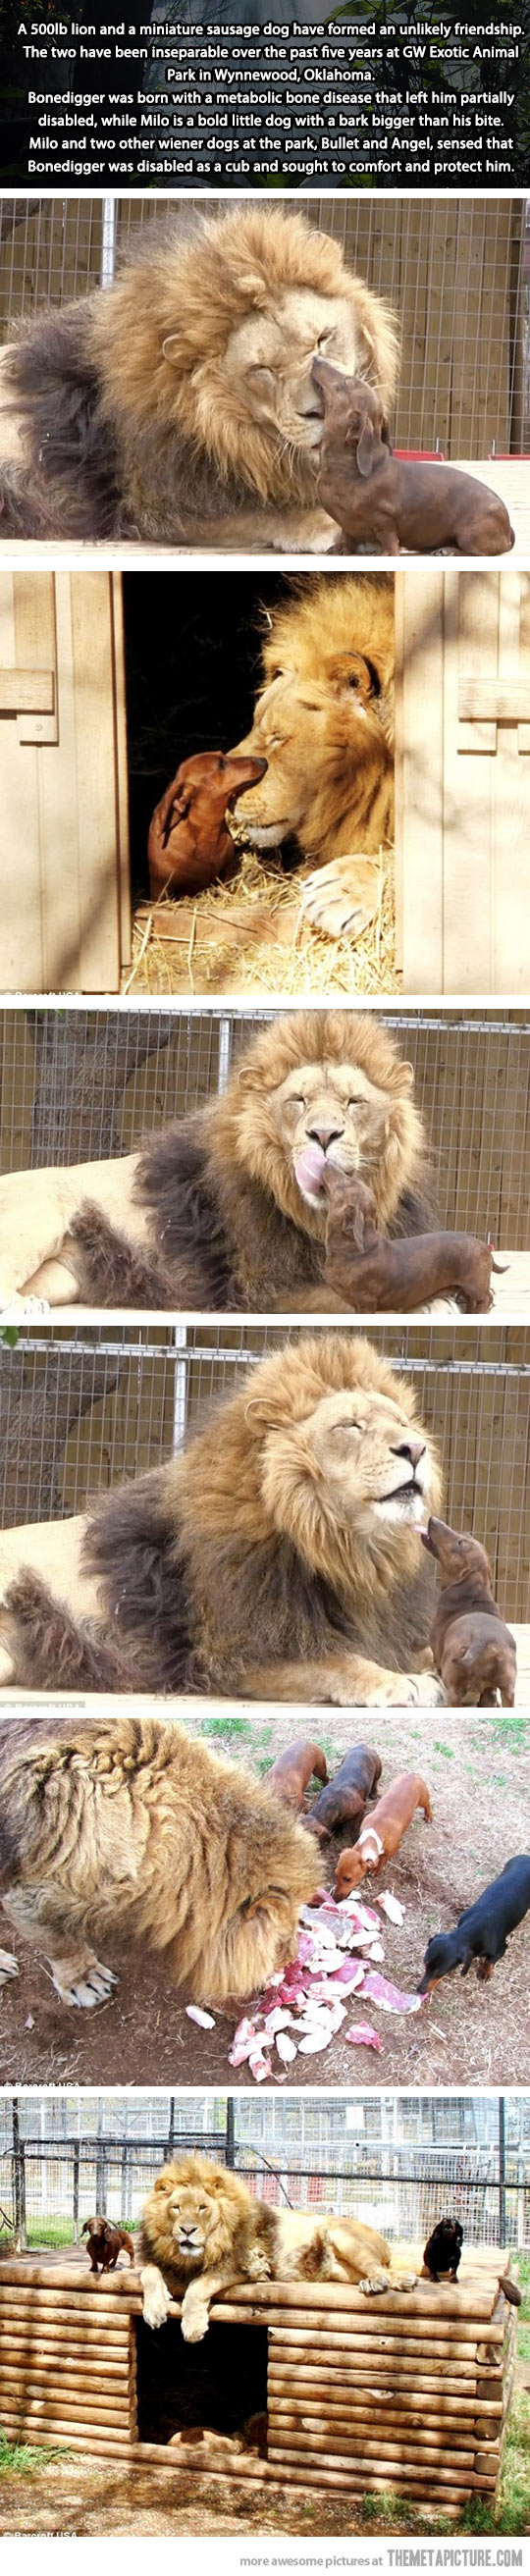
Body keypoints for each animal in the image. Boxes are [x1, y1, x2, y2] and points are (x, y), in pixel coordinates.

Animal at [0, 1010, 435, 1316]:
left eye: (353, 1102)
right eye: (298, 1101)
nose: (324, 1135)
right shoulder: (263, 1286)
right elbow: (343, 1296)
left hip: (62, 1276)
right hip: (38, 1215)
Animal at [0, 1332, 445, 1706]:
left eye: (403, 1423)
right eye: (351, 1425)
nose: (416, 1449)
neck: (347, 1552)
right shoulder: (238, 1654)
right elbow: (339, 1661)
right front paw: (398, 1682)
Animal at [138, 2154, 417, 2342]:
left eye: (202, 2208)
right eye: (176, 2208)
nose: (187, 2230)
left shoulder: (247, 2265)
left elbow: (198, 2286)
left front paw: (193, 2328)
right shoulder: (159, 2260)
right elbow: (147, 2275)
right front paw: (154, 2311)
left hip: (345, 2237)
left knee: (378, 2269)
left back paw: (379, 2283)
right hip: (341, 2270)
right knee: (384, 2270)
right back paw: (404, 2281)